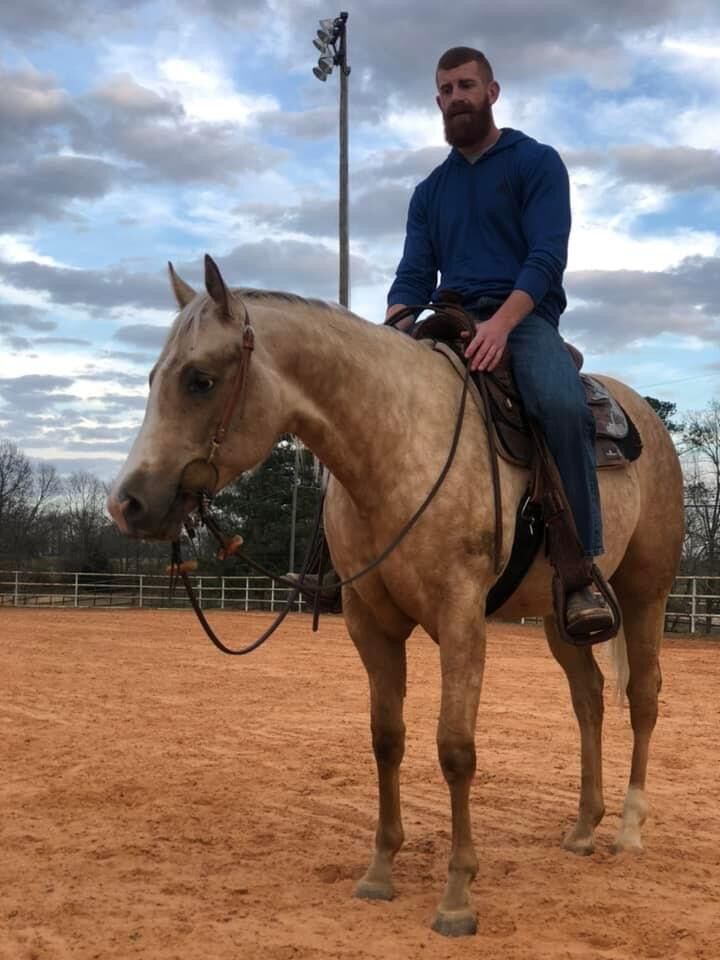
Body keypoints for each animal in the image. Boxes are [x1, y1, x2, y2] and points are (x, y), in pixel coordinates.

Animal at [108, 256, 688, 936]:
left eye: (200, 380)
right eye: (154, 377)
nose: (127, 503)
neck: (396, 449)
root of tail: (643, 415)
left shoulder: (461, 617)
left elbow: (455, 748)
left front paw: (457, 896)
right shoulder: (371, 622)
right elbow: (386, 738)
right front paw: (380, 871)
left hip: (646, 591)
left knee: (642, 697)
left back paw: (627, 829)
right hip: (560, 612)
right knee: (589, 697)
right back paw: (582, 827)